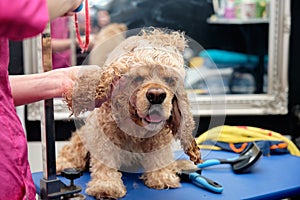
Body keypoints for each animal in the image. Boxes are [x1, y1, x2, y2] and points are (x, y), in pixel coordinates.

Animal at [57, 28, 200, 198]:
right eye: (138, 78)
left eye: (170, 80)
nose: (156, 95)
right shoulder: (103, 134)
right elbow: (105, 161)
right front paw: (106, 186)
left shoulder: (159, 137)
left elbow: (160, 157)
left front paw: (162, 177)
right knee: (71, 151)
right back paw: (62, 164)